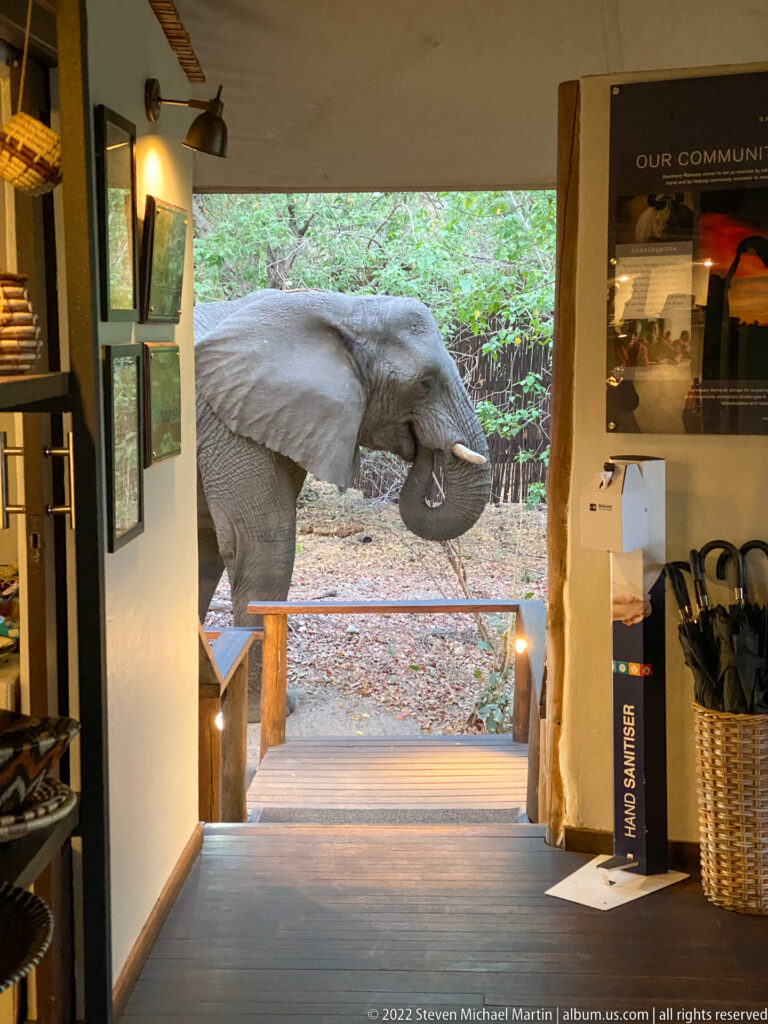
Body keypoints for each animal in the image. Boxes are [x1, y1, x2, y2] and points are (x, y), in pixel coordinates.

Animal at [194, 289, 491, 720]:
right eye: (425, 383)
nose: (423, 446)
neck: (346, 308)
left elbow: (204, 552)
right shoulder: (232, 422)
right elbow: (264, 549)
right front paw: (266, 713)